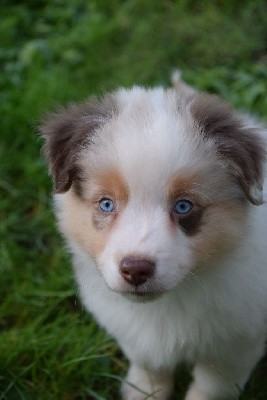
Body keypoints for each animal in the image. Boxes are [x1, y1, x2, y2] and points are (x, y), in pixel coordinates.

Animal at [40, 76, 267, 400]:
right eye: (106, 204)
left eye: (183, 206)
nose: (135, 270)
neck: (170, 302)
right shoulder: (134, 334)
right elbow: (149, 366)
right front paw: (143, 391)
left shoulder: (234, 346)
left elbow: (210, 386)